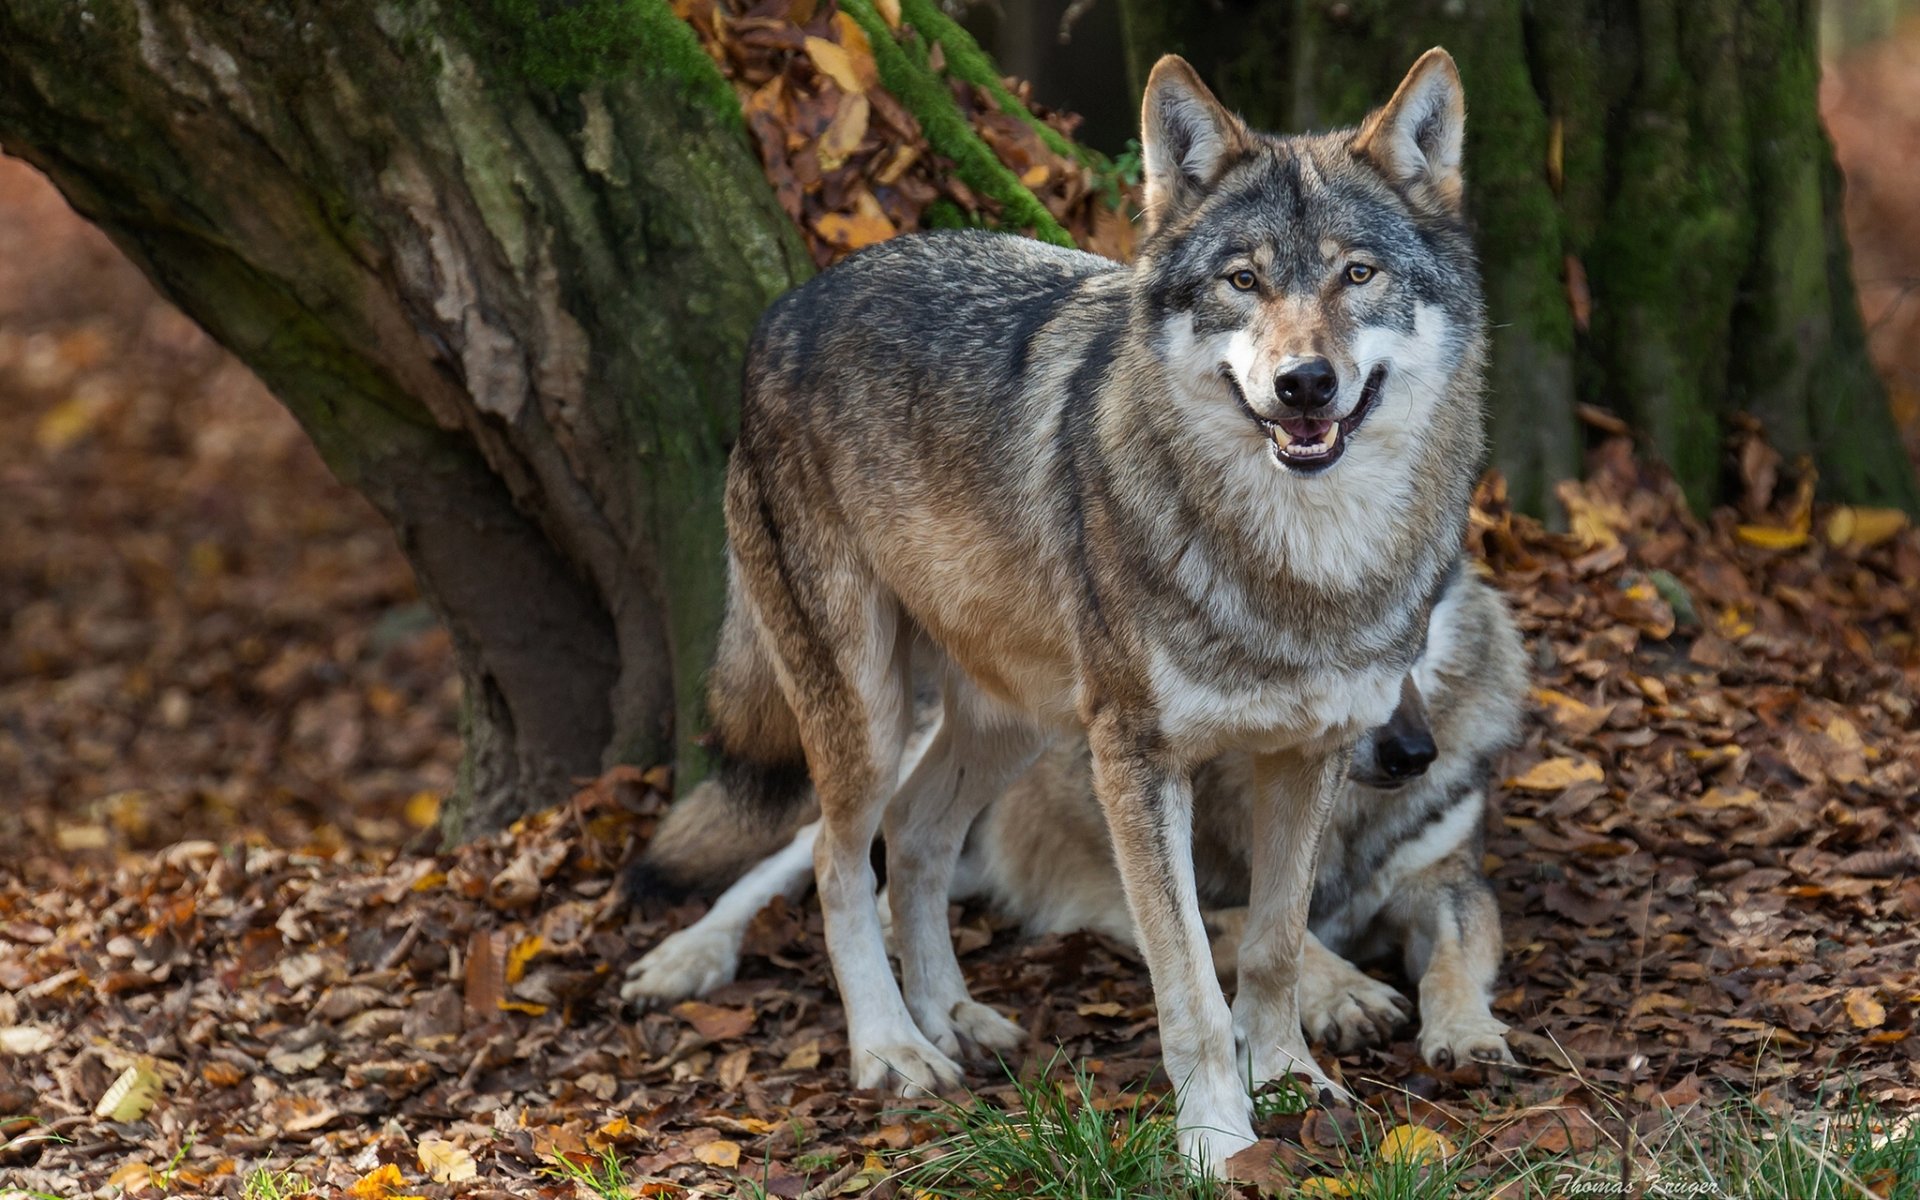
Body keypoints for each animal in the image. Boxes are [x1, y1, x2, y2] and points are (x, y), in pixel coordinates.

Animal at [624, 567, 1527, 1073]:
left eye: (1405, 636)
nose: (1413, 754)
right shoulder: (1173, 895)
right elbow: (1278, 935)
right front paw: (1346, 995)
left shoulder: (1452, 888)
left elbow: (1450, 964)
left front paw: (1469, 1032)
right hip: (898, 757)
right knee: (793, 859)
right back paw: (682, 958)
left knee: (911, 873)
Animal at [698, 48, 1485, 1164]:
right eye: (1243, 281)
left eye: (1357, 275)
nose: (1304, 384)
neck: (1303, 566)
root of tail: (787, 306)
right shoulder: (1139, 764)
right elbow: (1190, 978)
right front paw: (1219, 1139)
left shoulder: (1314, 752)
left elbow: (1278, 946)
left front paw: (1291, 1083)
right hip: (874, 712)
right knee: (836, 858)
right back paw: (892, 1050)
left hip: (1014, 721)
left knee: (920, 841)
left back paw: (955, 1017)